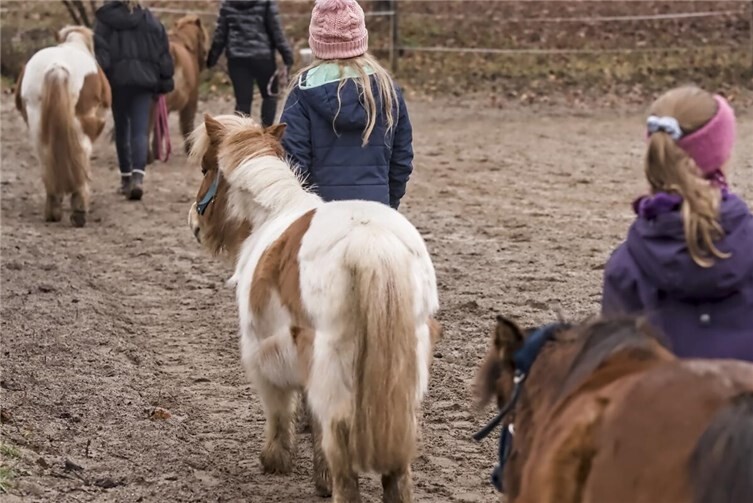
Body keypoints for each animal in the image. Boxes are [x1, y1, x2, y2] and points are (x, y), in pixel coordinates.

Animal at [15, 26, 111, 227]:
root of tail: (57, 66)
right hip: (81, 130)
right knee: (81, 159)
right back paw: (79, 211)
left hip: (38, 127)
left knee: (46, 161)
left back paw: (53, 211)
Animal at [186, 113, 442, 502]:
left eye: (205, 168)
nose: (195, 224)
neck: (272, 213)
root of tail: (369, 242)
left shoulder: (263, 352)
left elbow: (281, 407)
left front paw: (278, 459)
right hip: (403, 374)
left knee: (339, 445)